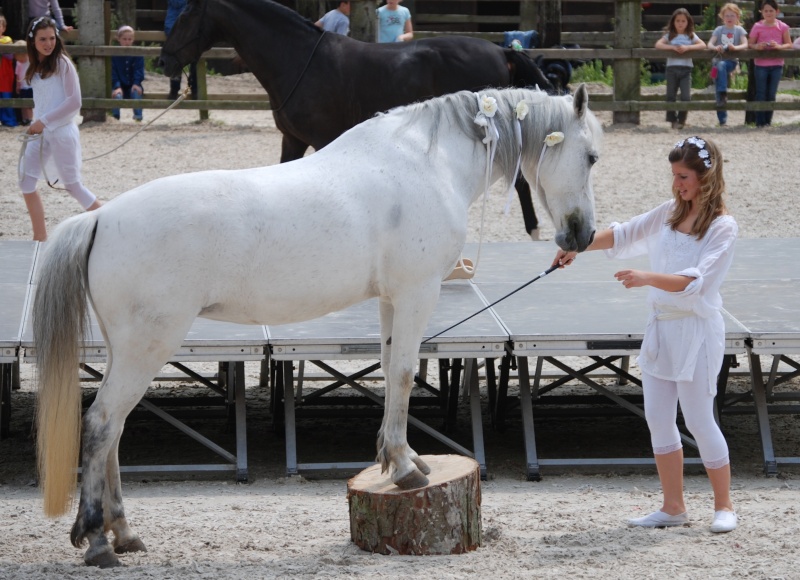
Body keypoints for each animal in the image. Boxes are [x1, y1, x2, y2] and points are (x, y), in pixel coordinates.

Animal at [34, 86, 604, 568]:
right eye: (592, 157)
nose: (582, 235)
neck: (428, 162)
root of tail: (101, 218)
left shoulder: (391, 301)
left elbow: (393, 374)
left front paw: (396, 459)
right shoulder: (417, 293)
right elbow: (402, 375)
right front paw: (405, 469)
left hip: (128, 351)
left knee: (114, 431)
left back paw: (124, 533)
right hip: (146, 348)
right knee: (102, 424)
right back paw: (99, 540)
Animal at [159, 0, 552, 238]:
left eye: (185, 14)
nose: (163, 61)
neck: (298, 59)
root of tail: (502, 51)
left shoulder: (320, 139)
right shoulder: (293, 139)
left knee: (517, 178)